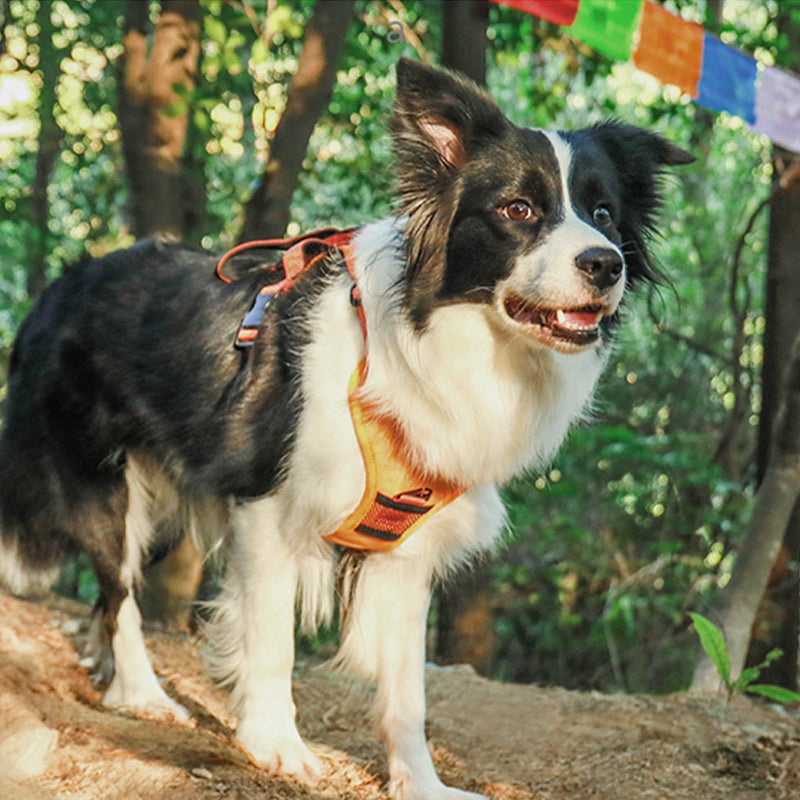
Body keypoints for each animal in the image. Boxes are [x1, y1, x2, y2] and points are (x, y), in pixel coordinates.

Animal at [0, 59, 692, 796]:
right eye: (518, 210)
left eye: (603, 213)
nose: (605, 263)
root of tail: (62, 284)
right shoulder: (266, 509)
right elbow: (272, 642)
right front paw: (275, 745)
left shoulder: (407, 548)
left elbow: (408, 692)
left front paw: (420, 782)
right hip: (101, 485)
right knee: (117, 591)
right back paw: (142, 693)